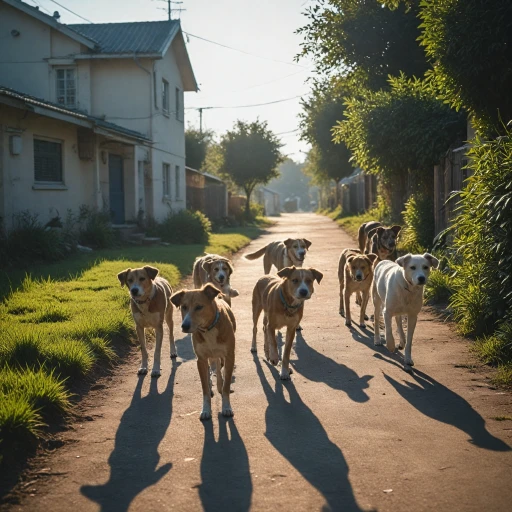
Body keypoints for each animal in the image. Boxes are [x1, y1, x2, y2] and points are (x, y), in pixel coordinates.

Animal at [171, 284, 237, 420]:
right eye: (184, 307)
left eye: (199, 307)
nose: (184, 326)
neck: (208, 329)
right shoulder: (200, 359)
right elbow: (204, 388)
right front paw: (206, 409)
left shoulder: (229, 356)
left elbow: (226, 384)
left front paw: (226, 407)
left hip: (220, 356)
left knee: (219, 369)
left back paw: (219, 385)